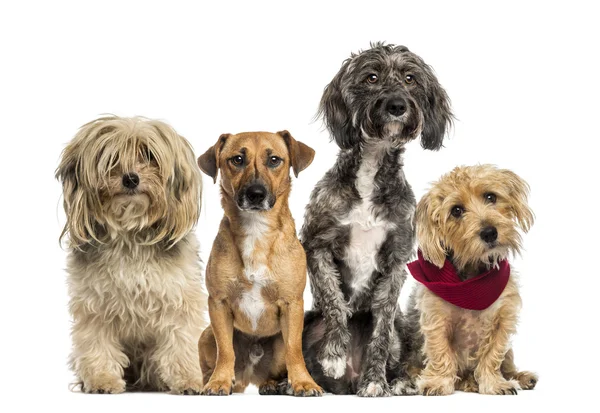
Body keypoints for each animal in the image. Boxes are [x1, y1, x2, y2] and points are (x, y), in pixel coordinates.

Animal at [55, 116, 209, 392]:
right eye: (112, 158)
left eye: (149, 155)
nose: (130, 179)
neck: (129, 234)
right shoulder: (95, 304)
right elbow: (97, 343)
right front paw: (102, 379)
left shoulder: (180, 299)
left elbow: (181, 341)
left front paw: (189, 378)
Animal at [198, 130, 324, 394]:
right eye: (237, 159)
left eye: (274, 160)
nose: (256, 194)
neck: (256, 231)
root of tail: (249, 376)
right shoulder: (218, 303)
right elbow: (225, 351)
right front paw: (219, 381)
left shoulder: (292, 304)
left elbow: (294, 351)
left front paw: (303, 382)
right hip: (205, 335)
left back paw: (273, 385)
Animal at [302, 42, 452, 396]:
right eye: (371, 77)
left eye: (410, 78)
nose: (397, 105)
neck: (372, 166)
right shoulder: (317, 245)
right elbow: (334, 303)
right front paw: (334, 353)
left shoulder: (396, 260)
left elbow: (381, 329)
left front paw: (375, 381)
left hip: (403, 329)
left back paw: (398, 383)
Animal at [404, 163, 540, 392]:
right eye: (456, 211)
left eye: (490, 197)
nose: (489, 232)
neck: (472, 280)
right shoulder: (436, 318)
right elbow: (440, 351)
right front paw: (438, 381)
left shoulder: (503, 318)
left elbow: (493, 354)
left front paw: (494, 383)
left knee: (508, 364)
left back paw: (520, 377)